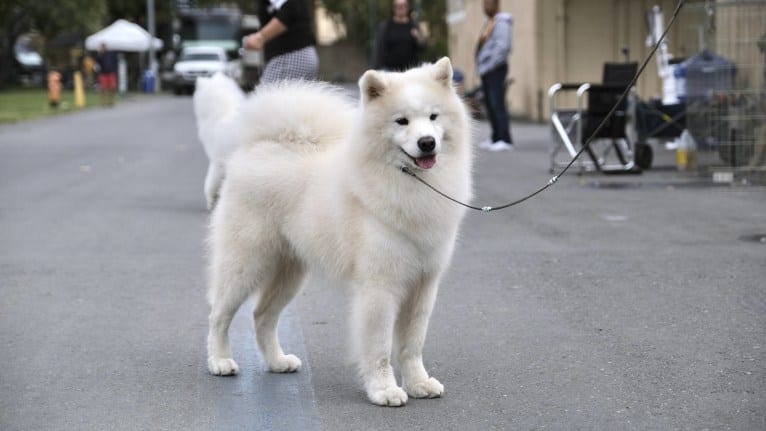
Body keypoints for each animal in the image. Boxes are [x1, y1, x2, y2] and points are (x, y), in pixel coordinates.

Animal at [204, 58, 474, 408]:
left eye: (433, 117)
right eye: (401, 121)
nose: (427, 142)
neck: (408, 182)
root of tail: (259, 146)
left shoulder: (423, 284)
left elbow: (412, 344)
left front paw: (418, 384)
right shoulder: (379, 286)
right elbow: (380, 347)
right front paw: (384, 390)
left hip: (290, 273)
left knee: (262, 316)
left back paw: (278, 361)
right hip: (246, 263)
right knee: (219, 315)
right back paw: (219, 361)